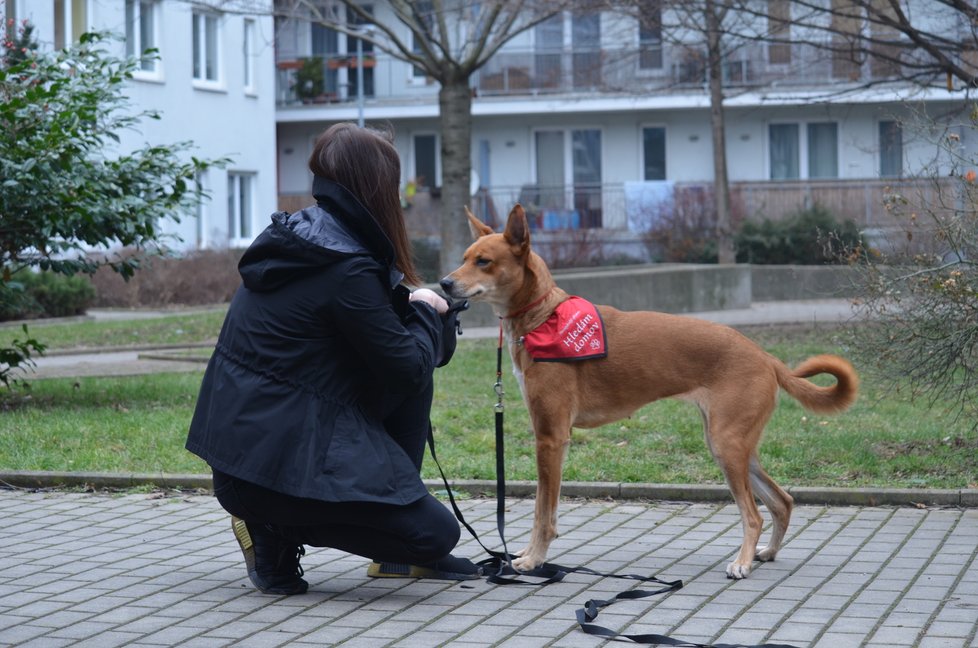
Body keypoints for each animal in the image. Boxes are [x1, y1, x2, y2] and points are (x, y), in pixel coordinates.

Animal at [438, 202, 856, 576]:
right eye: (465, 257)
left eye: (484, 262)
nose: (443, 283)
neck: (543, 318)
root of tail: (766, 356)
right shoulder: (552, 437)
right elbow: (544, 508)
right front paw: (527, 554)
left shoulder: (551, 437)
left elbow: (544, 512)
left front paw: (533, 559)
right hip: (732, 445)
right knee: (782, 501)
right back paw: (765, 553)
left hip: (728, 445)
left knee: (753, 514)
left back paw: (743, 562)